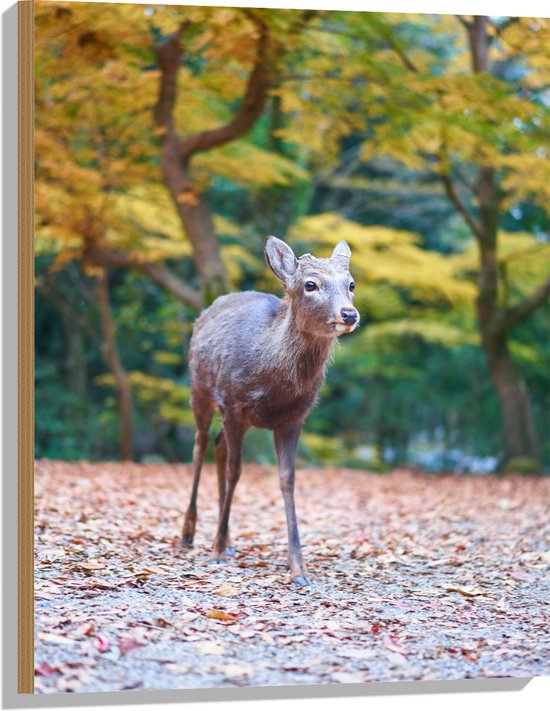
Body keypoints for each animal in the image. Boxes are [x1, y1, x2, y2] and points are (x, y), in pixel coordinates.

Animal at [183, 236, 360, 588]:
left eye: (351, 284)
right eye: (310, 284)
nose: (349, 313)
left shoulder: (294, 418)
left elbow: (287, 479)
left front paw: (299, 568)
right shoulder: (234, 403)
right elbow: (236, 471)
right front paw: (216, 552)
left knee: (218, 445)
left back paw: (229, 538)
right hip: (200, 389)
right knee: (199, 445)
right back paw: (190, 533)